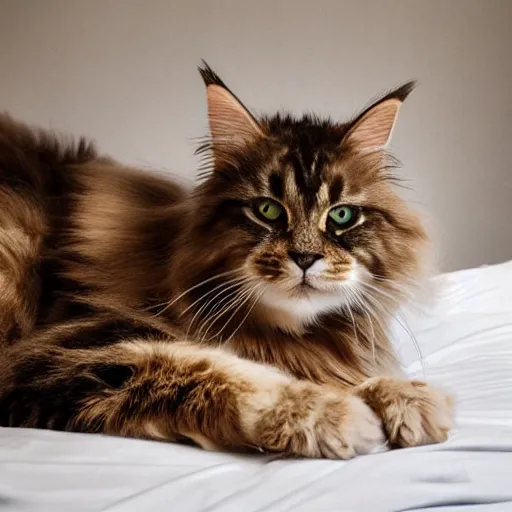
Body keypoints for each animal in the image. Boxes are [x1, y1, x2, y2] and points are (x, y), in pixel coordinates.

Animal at [0, 62, 452, 458]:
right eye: (268, 210)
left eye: (341, 216)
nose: (305, 257)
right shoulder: (62, 352)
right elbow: (214, 370)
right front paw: (332, 413)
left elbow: (349, 376)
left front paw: (406, 398)